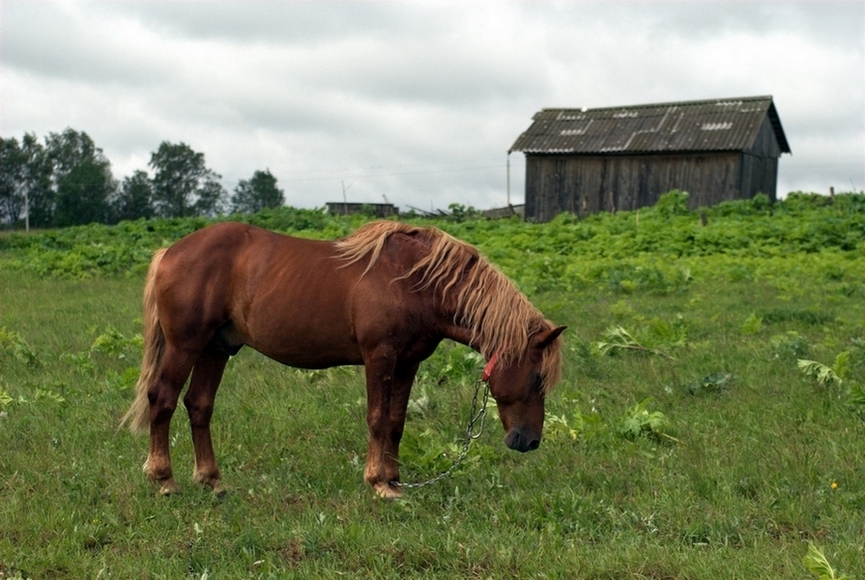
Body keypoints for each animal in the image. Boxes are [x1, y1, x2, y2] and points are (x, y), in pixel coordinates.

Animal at [121, 222, 568, 498]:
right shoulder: (380, 357)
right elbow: (377, 418)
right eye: (536, 379)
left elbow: (396, 421)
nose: (529, 441)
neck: (415, 281)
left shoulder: (408, 363)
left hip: (217, 349)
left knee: (199, 405)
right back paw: (164, 479)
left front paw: (395, 480)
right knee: (162, 399)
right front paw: (379, 484)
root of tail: (170, 251)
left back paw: (212, 481)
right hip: (186, 346)